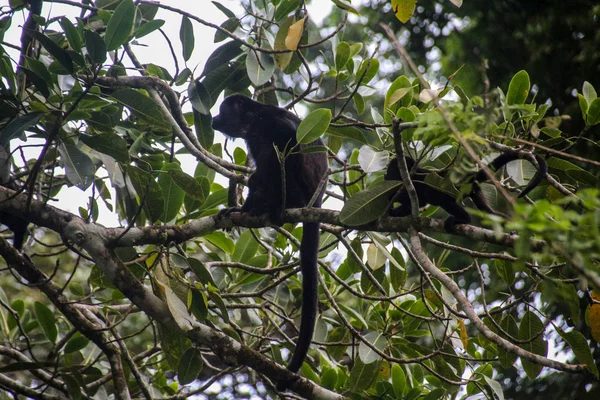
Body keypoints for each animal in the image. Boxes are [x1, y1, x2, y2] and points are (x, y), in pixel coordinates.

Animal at [212, 95, 328, 376]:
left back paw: (274, 205)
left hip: (299, 192)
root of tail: (316, 201)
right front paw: (241, 208)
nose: (214, 118)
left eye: (222, 110)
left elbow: (288, 143)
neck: (252, 122)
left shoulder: (269, 123)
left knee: (276, 166)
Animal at [384, 152, 548, 230]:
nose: (385, 175)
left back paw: (463, 219)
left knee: (445, 201)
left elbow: (420, 200)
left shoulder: (414, 183)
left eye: (390, 170)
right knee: (488, 211)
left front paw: (391, 202)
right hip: (475, 190)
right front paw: (391, 210)